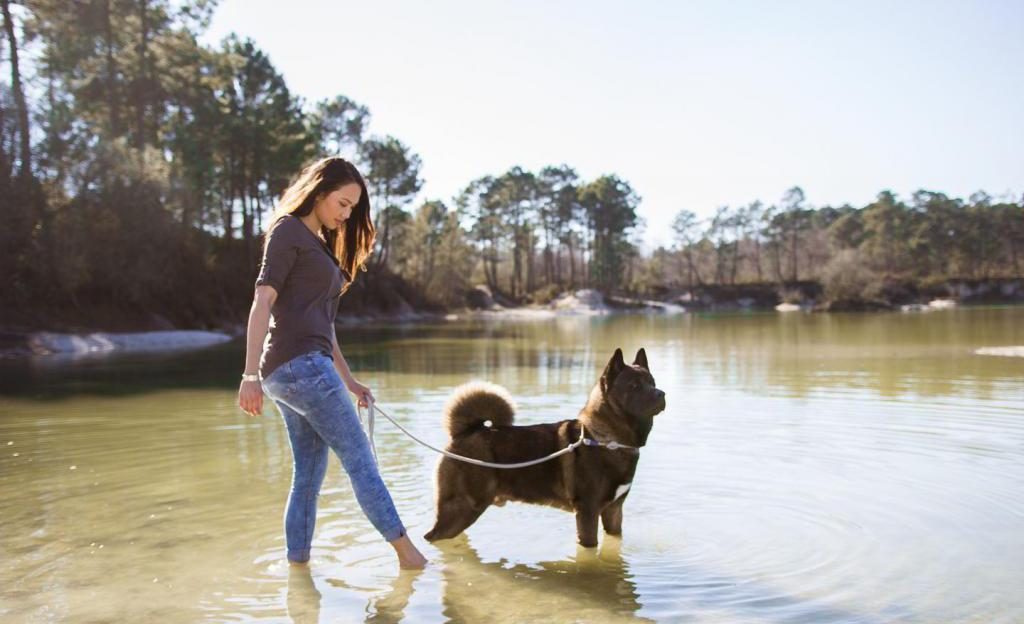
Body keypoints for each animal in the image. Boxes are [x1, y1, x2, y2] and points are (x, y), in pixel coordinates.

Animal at [421, 348, 667, 549]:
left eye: (652, 381)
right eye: (634, 386)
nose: (661, 394)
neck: (609, 441)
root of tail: (465, 432)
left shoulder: (614, 511)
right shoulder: (588, 512)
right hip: (462, 509)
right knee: (431, 536)